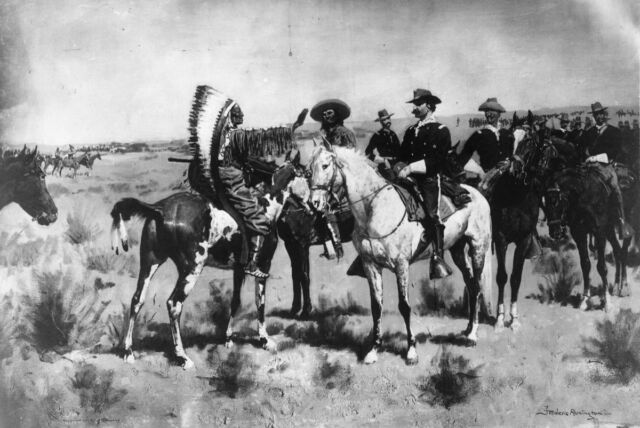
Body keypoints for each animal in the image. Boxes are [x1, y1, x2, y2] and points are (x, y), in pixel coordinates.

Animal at [308, 143, 492, 364]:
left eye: (325, 166)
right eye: (308, 170)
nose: (313, 203)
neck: (375, 208)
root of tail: (476, 194)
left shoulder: (401, 264)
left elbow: (404, 306)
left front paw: (411, 350)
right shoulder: (370, 265)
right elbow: (376, 306)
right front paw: (374, 349)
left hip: (478, 248)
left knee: (478, 285)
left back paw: (473, 334)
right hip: (457, 250)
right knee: (471, 286)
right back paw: (467, 329)